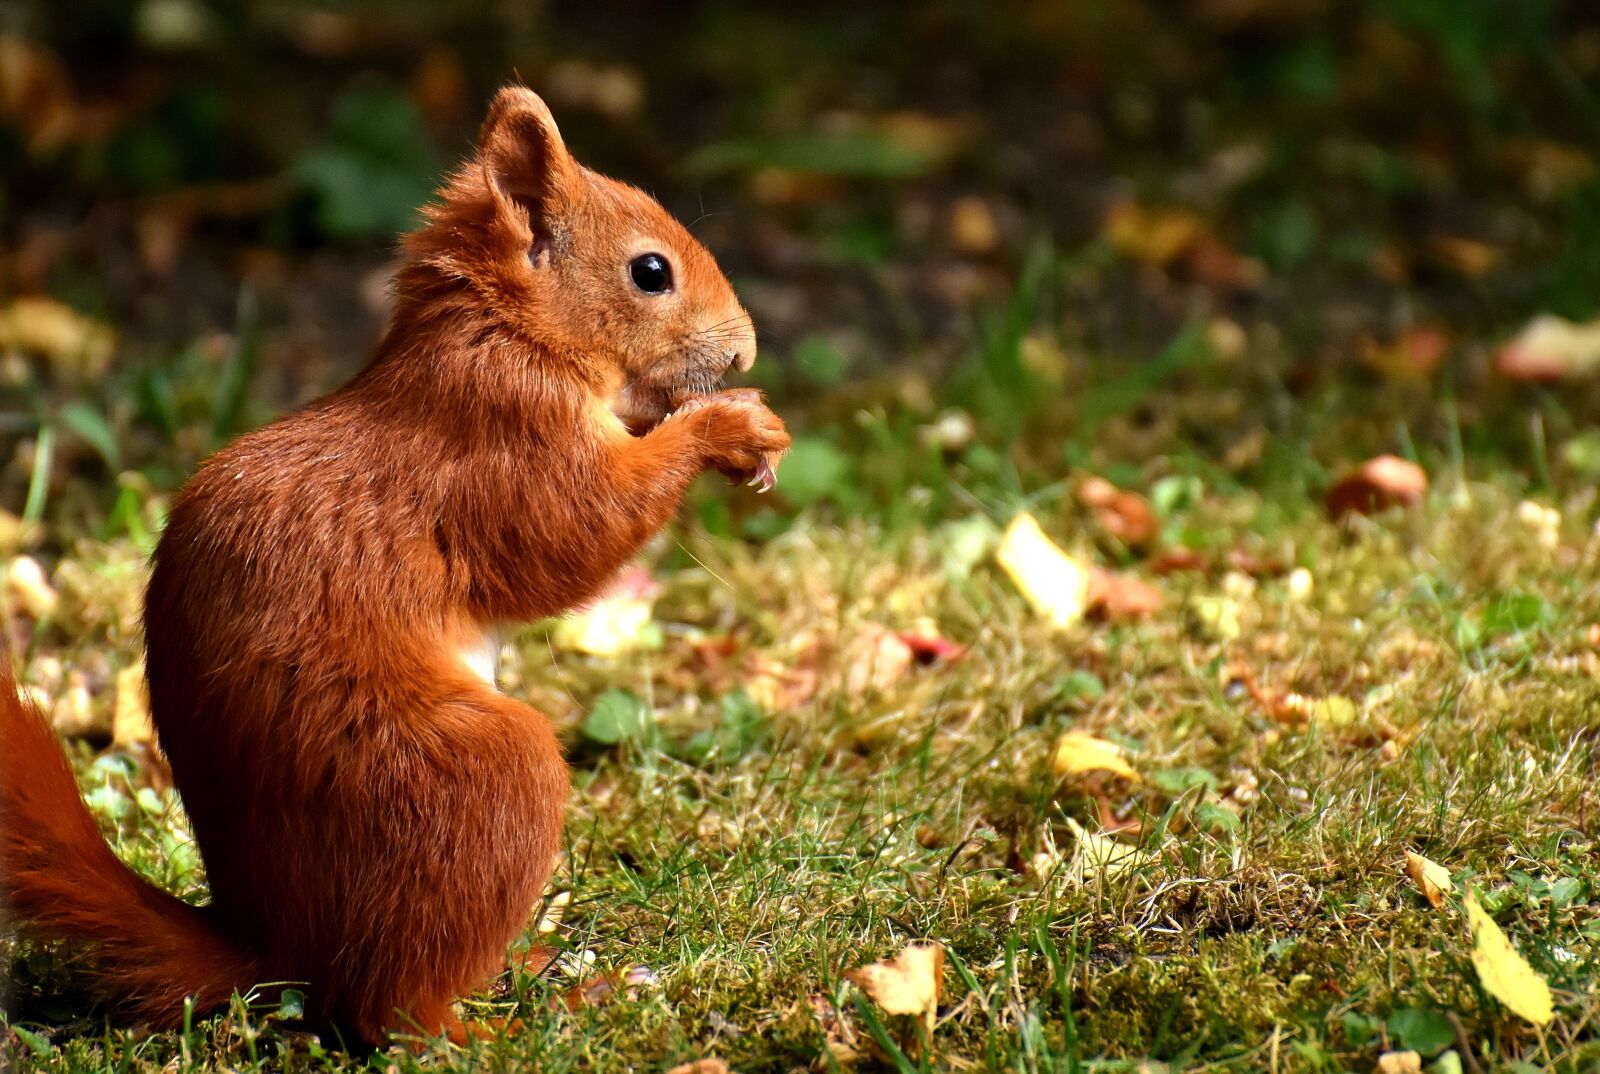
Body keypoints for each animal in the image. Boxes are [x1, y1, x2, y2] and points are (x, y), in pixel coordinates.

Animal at [0, 85, 789, 1045]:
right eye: (650, 272)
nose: (746, 351)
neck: (504, 334)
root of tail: (277, 947)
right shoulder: (504, 444)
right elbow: (576, 534)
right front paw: (729, 427)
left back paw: (528, 970)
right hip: (463, 781)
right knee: (387, 1014)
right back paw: (508, 1024)